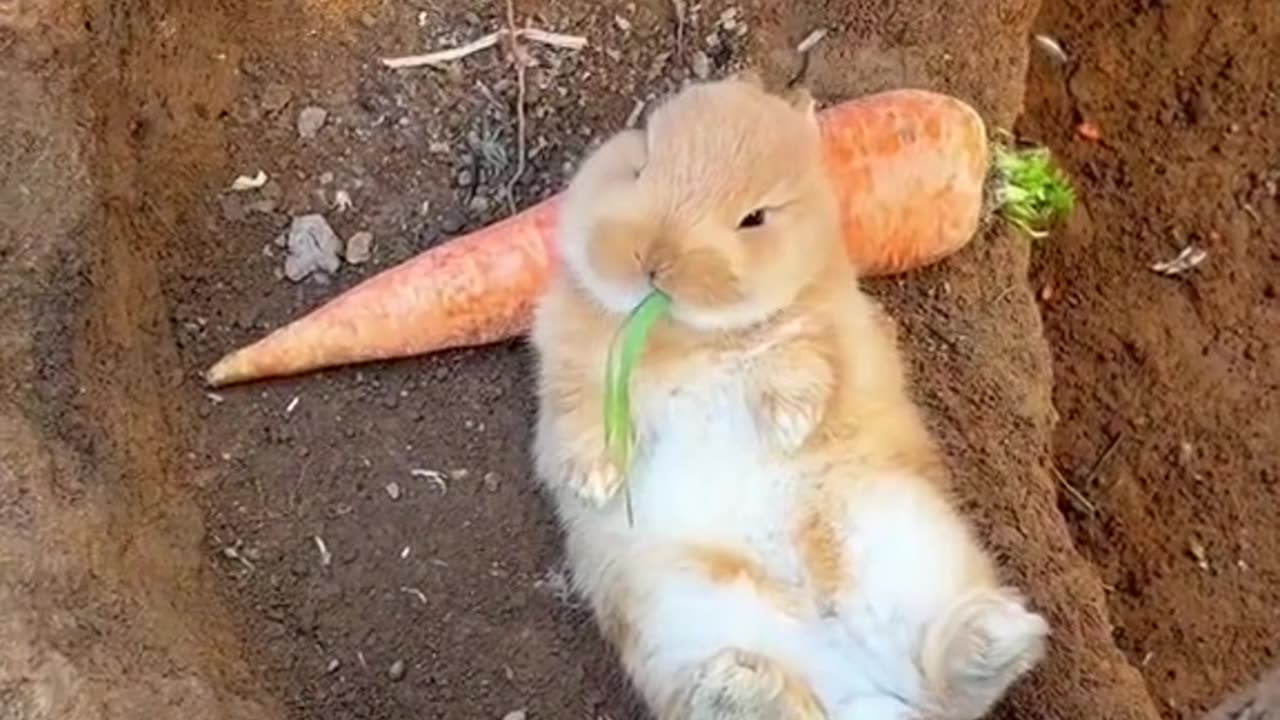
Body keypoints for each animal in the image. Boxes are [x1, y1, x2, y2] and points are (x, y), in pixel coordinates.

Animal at [524, 71, 1044, 717]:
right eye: (640, 165)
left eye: (755, 218)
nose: (655, 261)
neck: (685, 333)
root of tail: (875, 688)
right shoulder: (572, 375)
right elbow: (580, 421)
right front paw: (596, 484)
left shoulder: (828, 334)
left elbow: (803, 358)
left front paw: (789, 425)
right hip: (681, 619)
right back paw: (741, 682)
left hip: (902, 535)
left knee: (947, 686)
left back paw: (1002, 636)